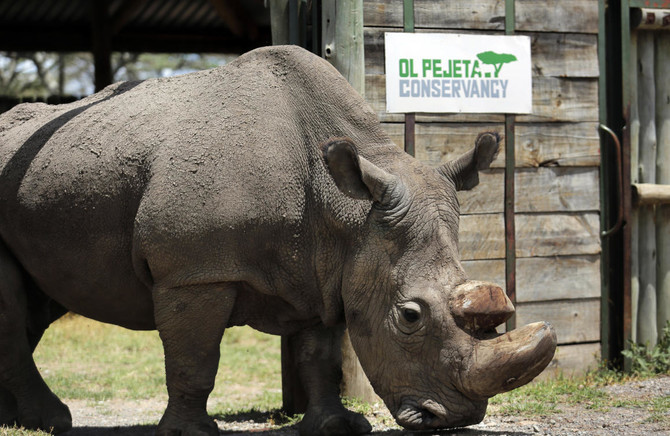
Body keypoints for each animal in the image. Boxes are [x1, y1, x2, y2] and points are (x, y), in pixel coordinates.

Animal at [0, 46, 556, 434]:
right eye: (410, 317)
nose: (455, 419)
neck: (346, 210)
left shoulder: (329, 267)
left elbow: (319, 355)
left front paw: (334, 425)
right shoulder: (194, 271)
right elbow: (195, 358)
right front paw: (191, 432)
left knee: (34, 304)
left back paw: (21, 420)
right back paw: (51, 422)